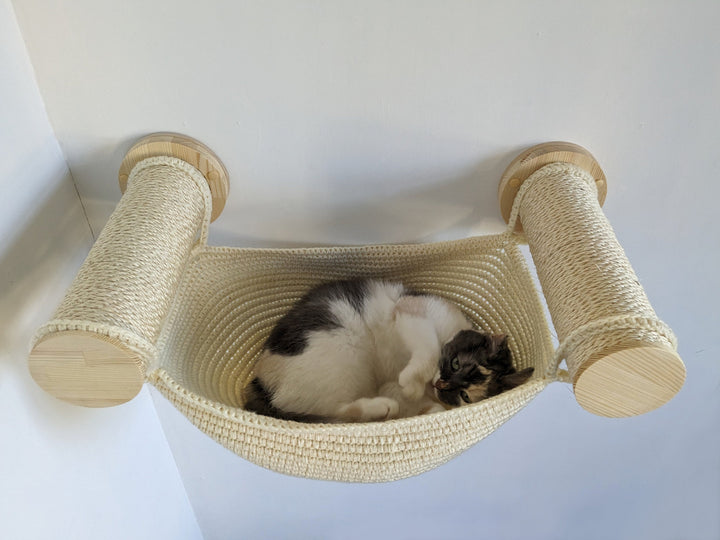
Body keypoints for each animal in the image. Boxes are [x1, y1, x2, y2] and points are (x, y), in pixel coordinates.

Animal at [245, 278, 532, 422]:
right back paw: (382, 406)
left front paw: (420, 401)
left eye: (465, 396)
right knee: (327, 410)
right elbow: (429, 350)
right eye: (456, 363)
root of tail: (261, 381)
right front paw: (412, 383)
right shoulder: (410, 308)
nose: (441, 385)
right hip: (340, 352)